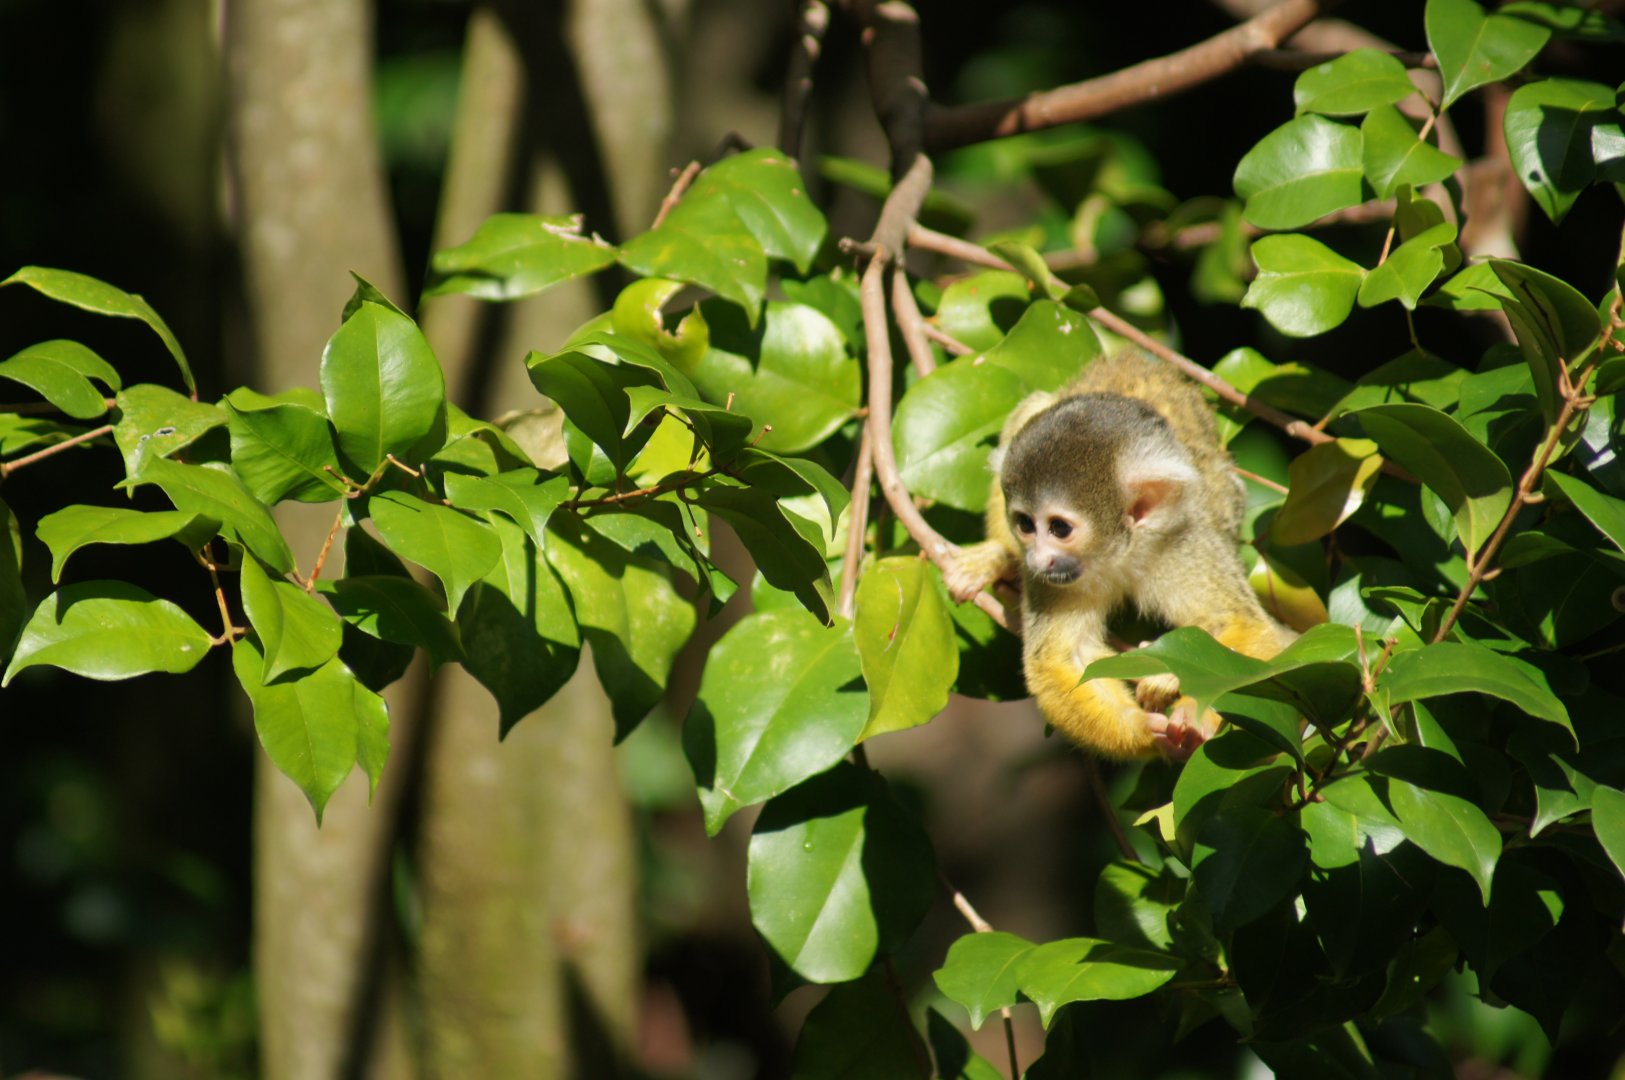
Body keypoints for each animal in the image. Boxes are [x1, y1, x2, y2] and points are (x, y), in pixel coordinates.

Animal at [943, 350, 1297, 760]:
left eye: (1059, 528)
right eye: (1025, 524)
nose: (1036, 561)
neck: (1117, 553)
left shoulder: (1183, 542)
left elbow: (1249, 627)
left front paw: (1192, 704)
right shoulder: (1059, 579)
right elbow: (1064, 657)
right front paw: (1144, 731)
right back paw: (998, 558)